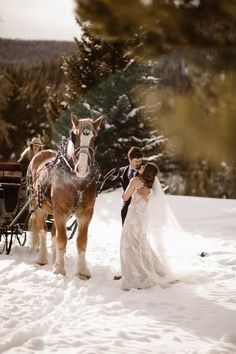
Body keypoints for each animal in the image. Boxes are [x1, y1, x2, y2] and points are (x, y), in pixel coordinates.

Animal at [27, 115, 102, 278]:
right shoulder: (60, 211)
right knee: (43, 230)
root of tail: (41, 152)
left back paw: (55, 258)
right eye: (74, 136)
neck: (77, 181)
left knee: (54, 232)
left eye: (95, 138)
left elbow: (81, 241)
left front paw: (82, 270)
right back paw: (43, 258)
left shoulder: (86, 213)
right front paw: (59, 269)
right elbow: (62, 239)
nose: (82, 168)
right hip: (38, 204)